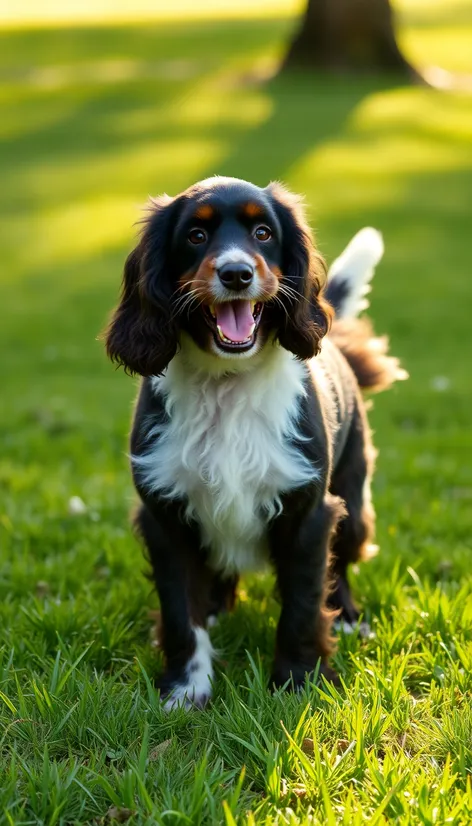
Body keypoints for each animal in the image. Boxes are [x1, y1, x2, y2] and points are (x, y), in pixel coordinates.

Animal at [104, 174, 406, 708]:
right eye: (196, 236)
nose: (237, 273)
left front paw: (298, 680)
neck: (227, 385)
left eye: (263, 233)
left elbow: (303, 605)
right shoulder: (164, 515)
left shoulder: (309, 511)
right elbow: (180, 613)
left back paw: (348, 618)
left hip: (351, 501)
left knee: (341, 567)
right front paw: (185, 688)